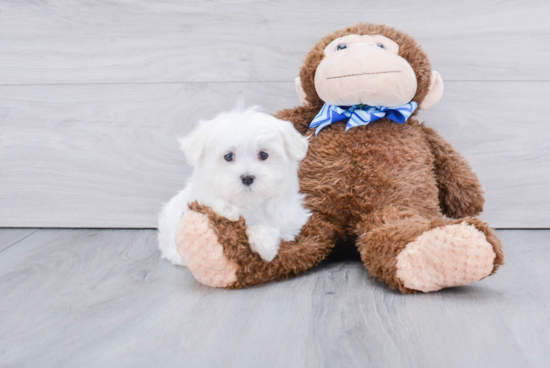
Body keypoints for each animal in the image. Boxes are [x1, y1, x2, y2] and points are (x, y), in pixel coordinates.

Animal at [158, 106, 310, 264]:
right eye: (228, 156)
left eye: (263, 155)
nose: (247, 178)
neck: (248, 203)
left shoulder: (290, 220)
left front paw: (265, 242)